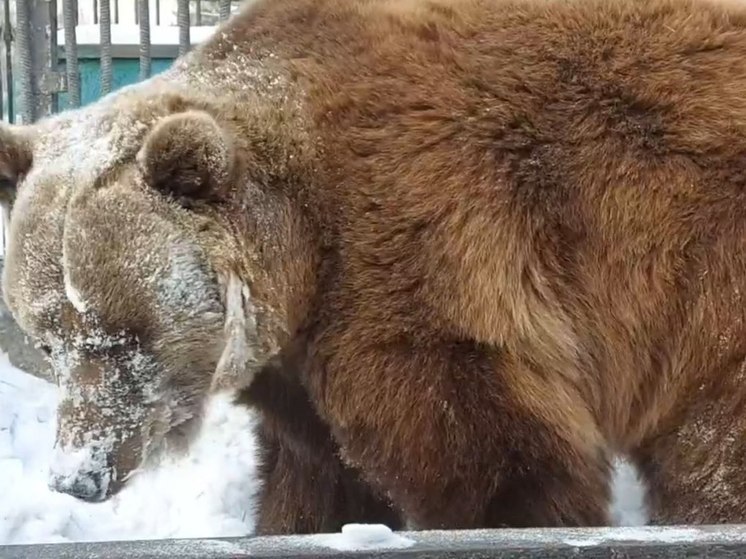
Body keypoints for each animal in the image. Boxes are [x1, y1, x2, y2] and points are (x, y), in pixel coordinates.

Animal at [1, 0, 744, 536]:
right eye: (48, 339)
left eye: (129, 333)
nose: (78, 474)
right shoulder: (298, 363)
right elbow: (314, 473)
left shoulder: (418, 252)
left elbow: (488, 457)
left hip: (697, 262)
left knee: (712, 438)